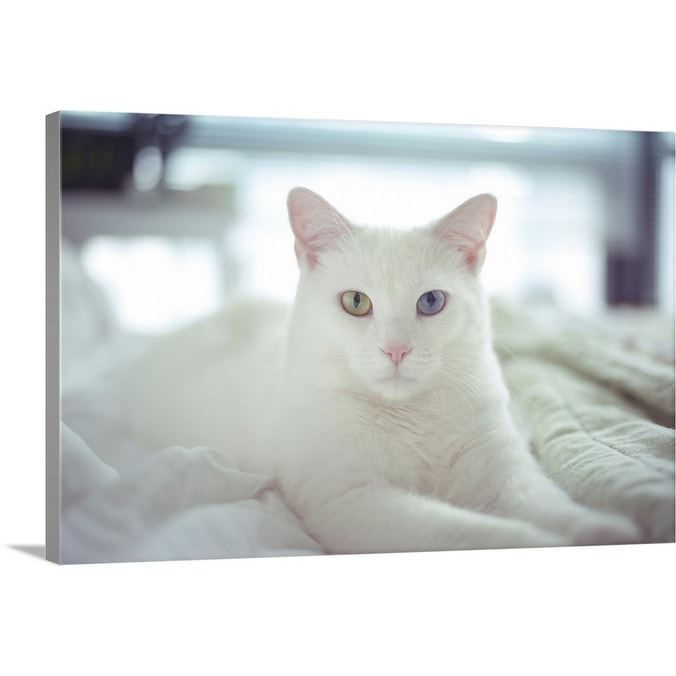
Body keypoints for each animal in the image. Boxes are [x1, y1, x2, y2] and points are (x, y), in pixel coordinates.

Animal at [125, 187, 640, 552]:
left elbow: (552, 507)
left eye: (431, 302)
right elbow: (478, 533)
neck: (412, 419)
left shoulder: (506, 474)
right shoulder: (351, 500)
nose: (396, 350)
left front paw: (604, 531)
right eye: (356, 302)